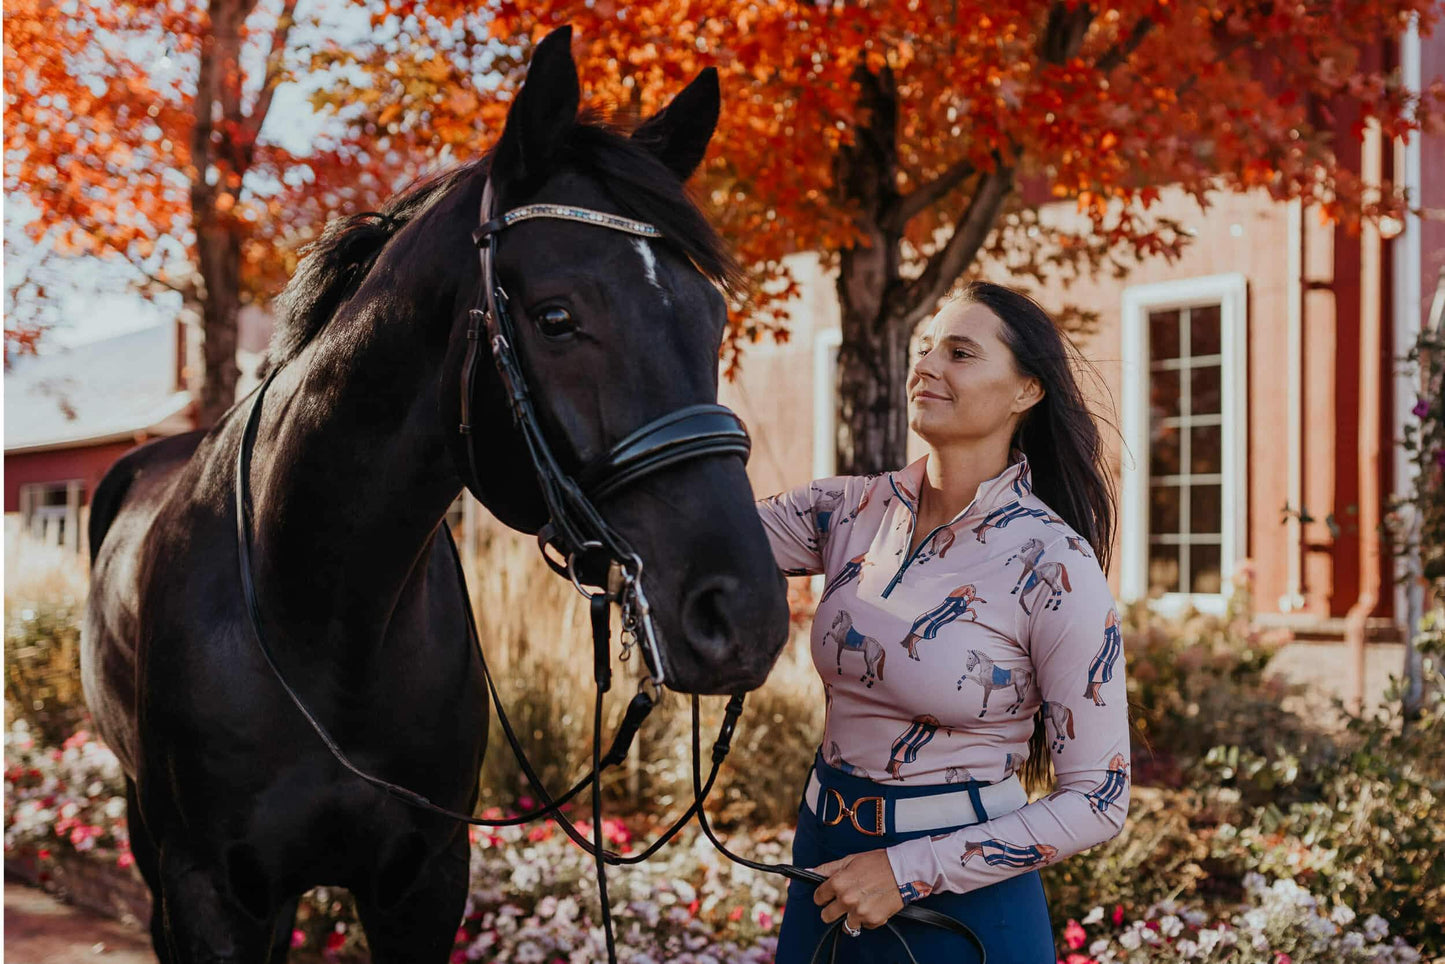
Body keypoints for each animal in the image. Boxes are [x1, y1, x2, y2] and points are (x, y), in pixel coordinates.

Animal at [80, 30, 791, 964]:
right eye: (556, 317)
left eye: (712, 317)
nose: (743, 615)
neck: (320, 613)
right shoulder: (208, 893)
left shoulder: (423, 882)